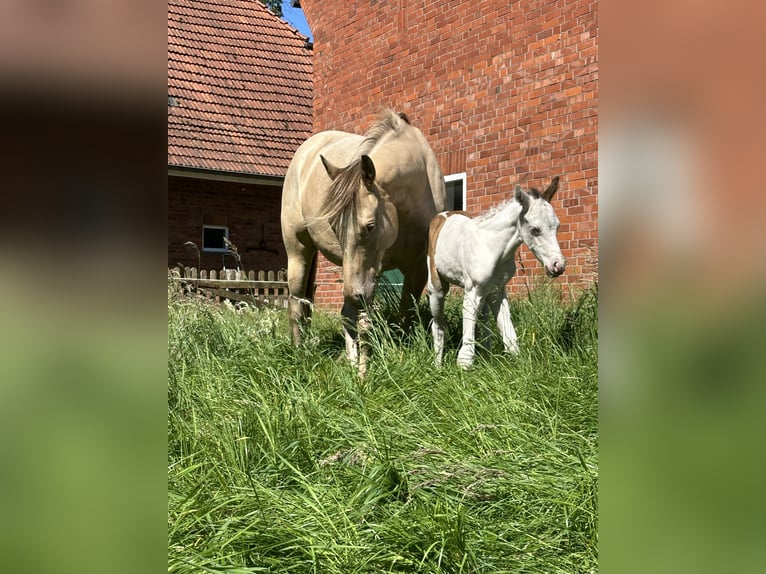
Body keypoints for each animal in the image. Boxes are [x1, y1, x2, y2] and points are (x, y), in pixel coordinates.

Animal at [284, 110, 448, 376]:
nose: (355, 295)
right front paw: (363, 370)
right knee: (298, 306)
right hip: (299, 253)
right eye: (333, 225)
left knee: (344, 312)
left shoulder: (416, 269)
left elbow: (405, 314)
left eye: (369, 227)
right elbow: (364, 324)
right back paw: (302, 353)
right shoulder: (367, 277)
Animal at [428, 177, 568, 368]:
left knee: (484, 319)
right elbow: (467, 348)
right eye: (534, 229)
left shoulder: (497, 291)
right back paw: (437, 365)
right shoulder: (472, 291)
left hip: (486, 294)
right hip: (436, 287)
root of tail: (443, 215)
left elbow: (510, 339)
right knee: (438, 324)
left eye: (557, 226)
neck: (492, 246)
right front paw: (464, 367)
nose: (558, 265)